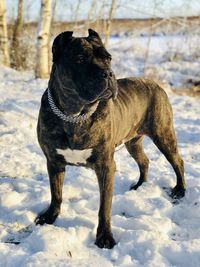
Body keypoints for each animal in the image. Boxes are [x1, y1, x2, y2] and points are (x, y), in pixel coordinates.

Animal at [36, 28, 186, 249]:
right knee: (144, 161)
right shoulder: (54, 162)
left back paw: (180, 190)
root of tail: (156, 84)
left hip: (163, 135)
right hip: (134, 143)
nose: (108, 73)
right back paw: (139, 186)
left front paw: (104, 236)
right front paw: (50, 216)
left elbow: (104, 207)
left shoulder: (106, 166)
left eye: (109, 58)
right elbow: (56, 193)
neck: (75, 115)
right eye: (80, 59)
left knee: (177, 162)